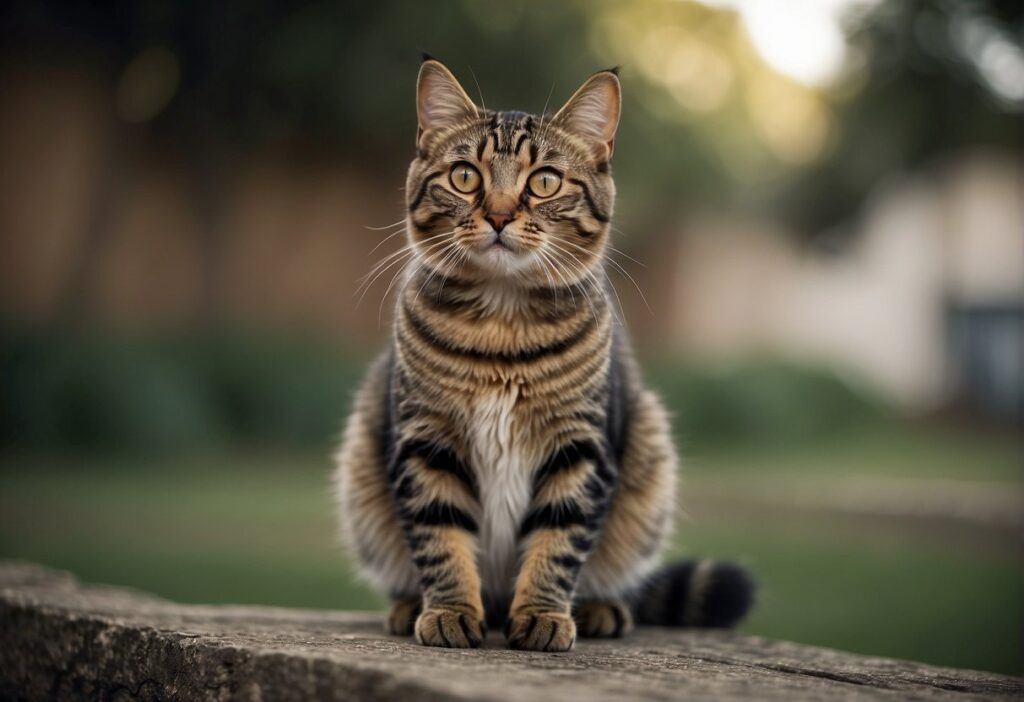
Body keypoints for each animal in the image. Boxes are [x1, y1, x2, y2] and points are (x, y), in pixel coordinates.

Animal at [333, 56, 753, 654]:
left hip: (649, 460)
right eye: (465, 176)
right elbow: (440, 537)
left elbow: (558, 541)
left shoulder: (578, 448)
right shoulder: (427, 441)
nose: (500, 215)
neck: (501, 330)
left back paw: (599, 608)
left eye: (545, 182)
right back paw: (414, 604)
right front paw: (451, 609)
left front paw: (542, 615)